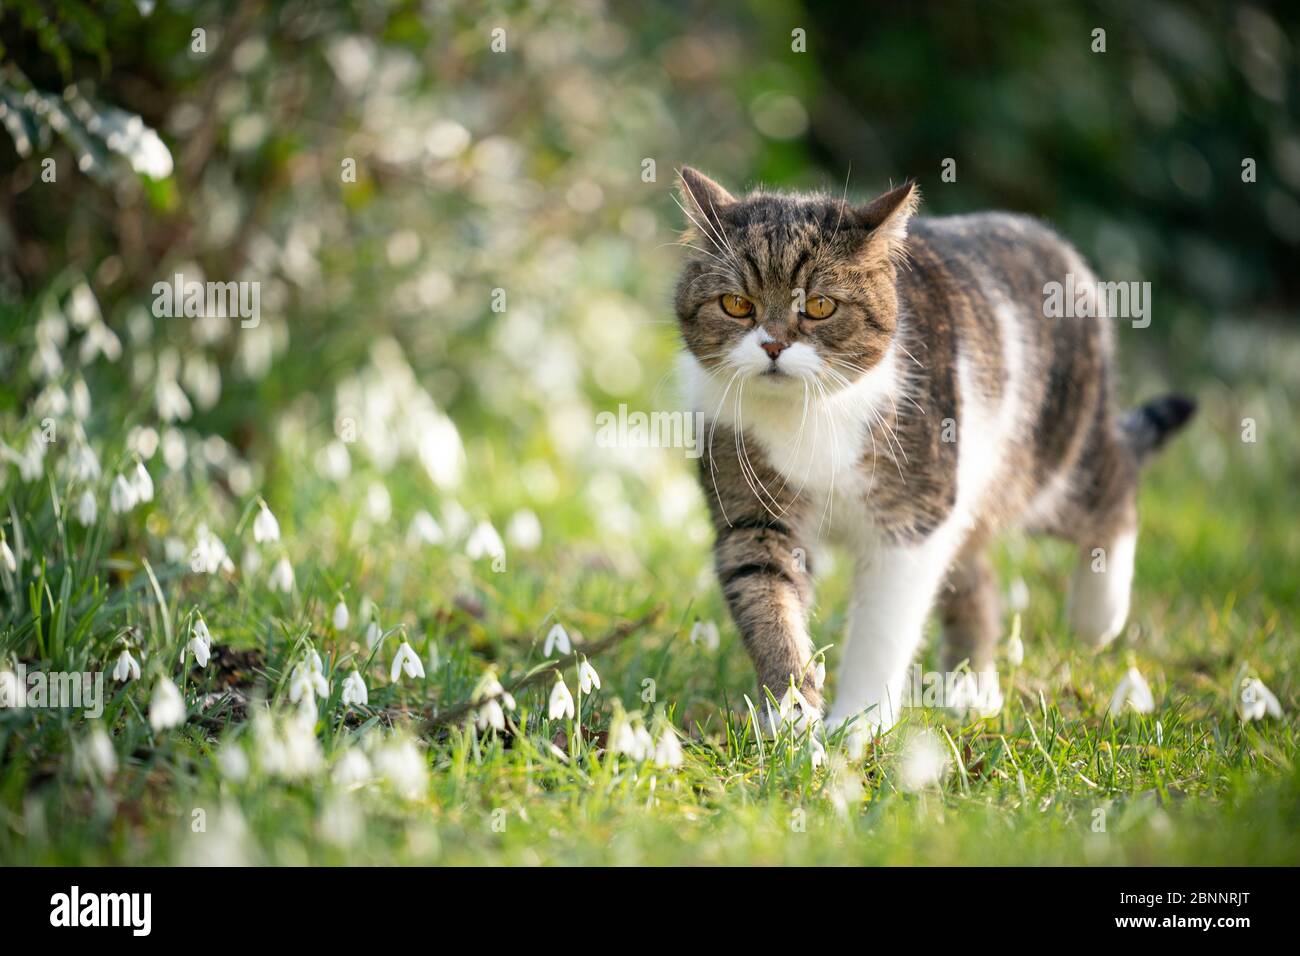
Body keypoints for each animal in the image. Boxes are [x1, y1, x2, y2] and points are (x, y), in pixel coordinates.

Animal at [676, 166, 1190, 733]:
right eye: (736, 305)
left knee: (1116, 487)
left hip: (1050, 462)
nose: (772, 346)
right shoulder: (753, 516)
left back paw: (1098, 616)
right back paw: (969, 689)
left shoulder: (912, 521)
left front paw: (858, 725)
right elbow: (769, 600)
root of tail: (1053, 240)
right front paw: (791, 712)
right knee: (978, 577)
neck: (806, 412)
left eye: (819, 306)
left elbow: (881, 631)